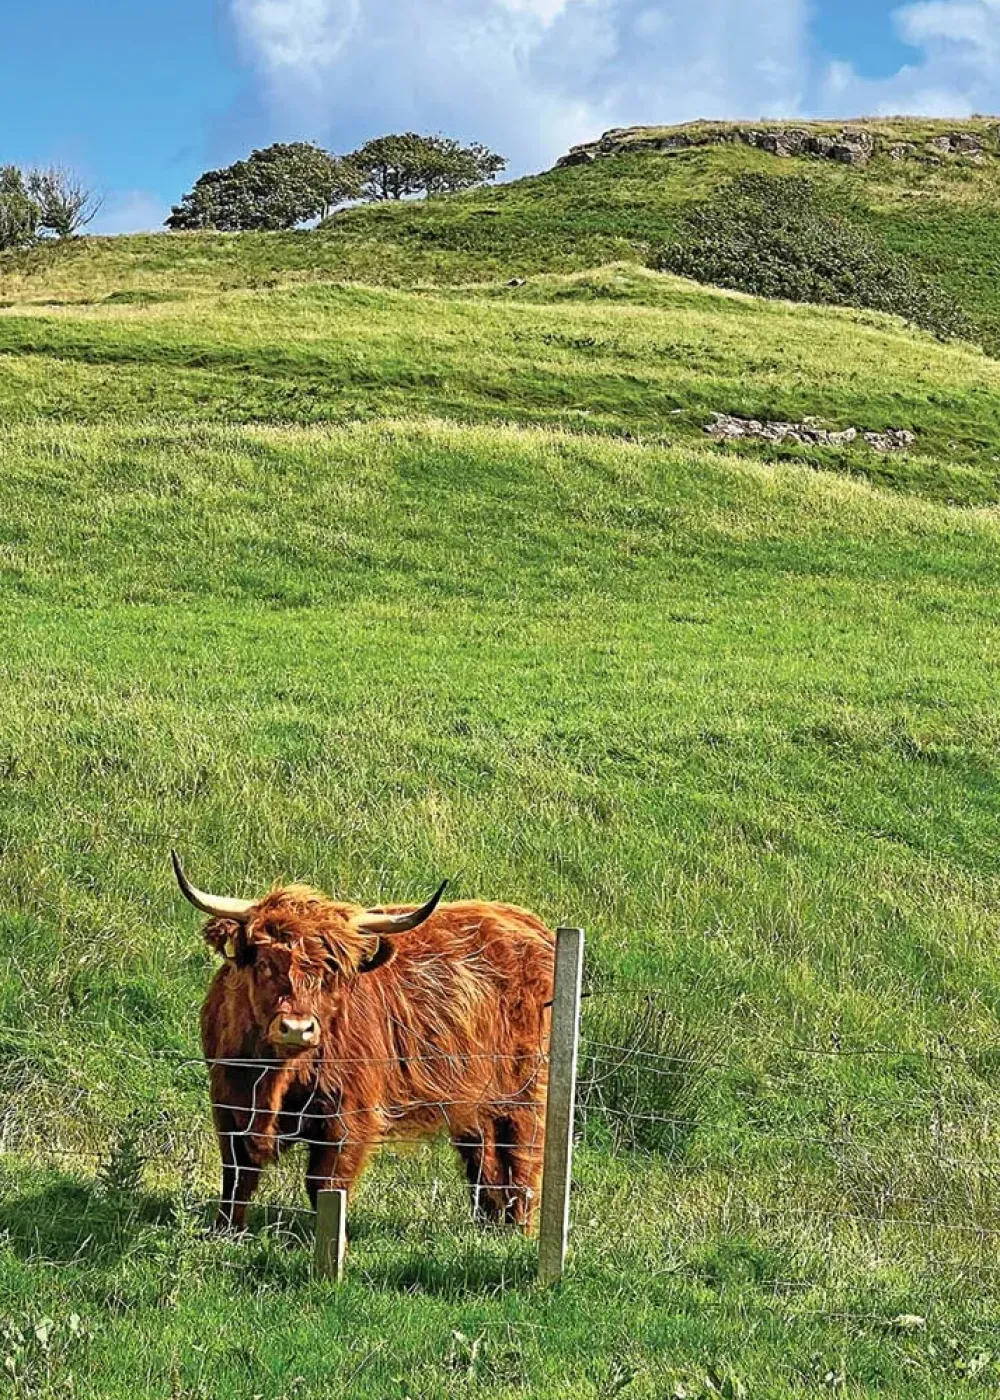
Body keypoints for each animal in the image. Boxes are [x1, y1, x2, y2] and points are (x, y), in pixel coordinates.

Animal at [171, 852, 555, 1232]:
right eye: (265, 964)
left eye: (330, 971)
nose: (296, 1028)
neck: (275, 1077)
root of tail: (530, 924)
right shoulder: (227, 1101)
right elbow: (238, 1175)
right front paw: (227, 1231)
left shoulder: (349, 1114)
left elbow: (326, 1183)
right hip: (475, 1094)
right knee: (484, 1156)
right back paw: (490, 1226)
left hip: (527, 1089)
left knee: (523, 1155)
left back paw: (519, 1229)